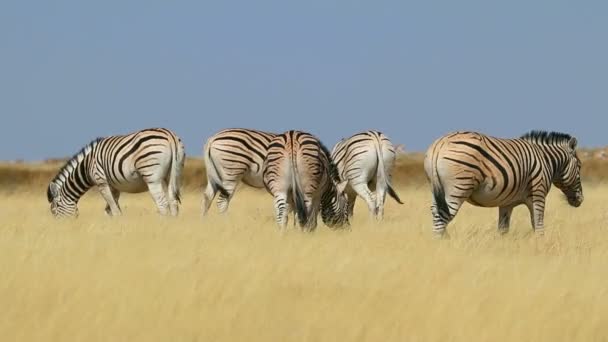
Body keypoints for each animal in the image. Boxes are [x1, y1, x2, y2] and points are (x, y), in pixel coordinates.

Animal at [47, 127, 185, 218]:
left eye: (54, 210)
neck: (87, 166)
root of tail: (170, 135)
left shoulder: (101, 181)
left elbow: (114, 209)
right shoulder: (114, 187)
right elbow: (109, 210)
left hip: (152, 176)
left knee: (162, 204)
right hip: (172, 175)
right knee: (173, 202)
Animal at [422, 130, 584, 236]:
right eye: (580, 166)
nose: (580, 200)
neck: (546, 161)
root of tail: (440, 143)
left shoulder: (507, 203)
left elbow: (503, 229)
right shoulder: (538, 193)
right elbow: (538, 226)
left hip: (437, 189)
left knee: (435, 212)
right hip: (458, 188)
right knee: (442, 217)